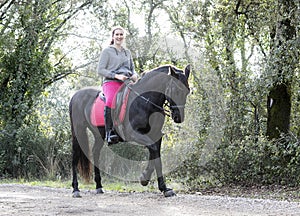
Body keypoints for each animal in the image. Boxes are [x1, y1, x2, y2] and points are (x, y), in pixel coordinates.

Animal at [68, 64, 190, 197]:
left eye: (187, 91)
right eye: (176, 90)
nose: (178, 117)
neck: (145, 102)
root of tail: (75, 95)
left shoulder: (156, 134)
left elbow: (156, 154)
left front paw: (161, 186)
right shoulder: (134, 134)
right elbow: (153, 149)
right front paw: (147, 179)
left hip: (99, 134)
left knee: (95, 152)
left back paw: (99, 187)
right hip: (78, 131)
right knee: (75, 157)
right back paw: (75, 189)